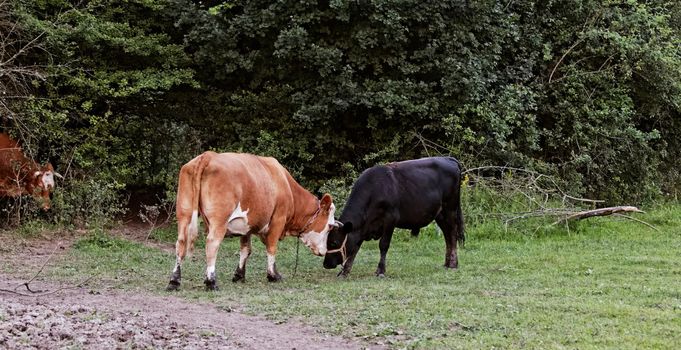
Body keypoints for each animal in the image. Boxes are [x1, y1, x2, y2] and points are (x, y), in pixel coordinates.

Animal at [167, 150, 338, 290]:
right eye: (330, 226)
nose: (325, 251)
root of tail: (208, 155)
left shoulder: (246, 225)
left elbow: (245, 249)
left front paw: (239, 275)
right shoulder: (278, 219)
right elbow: (272, 248)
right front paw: (273, 275)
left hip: (184, 213)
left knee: (180, 243)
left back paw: (174, 281)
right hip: (219, 220)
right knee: (212, 244)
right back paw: (211, 282)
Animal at [322, 157, 462, 278]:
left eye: (334, 242)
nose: (326, 264)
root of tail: (448, 158)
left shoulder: (390, 219)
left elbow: (383, 244)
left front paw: (380, 270)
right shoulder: (364, 226)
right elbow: (355, 247)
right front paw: (345, 271)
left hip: (450, 208)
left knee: (452, 234)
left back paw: (453, 264)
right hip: (440, 214)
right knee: (447, 236)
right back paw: (447, 263)